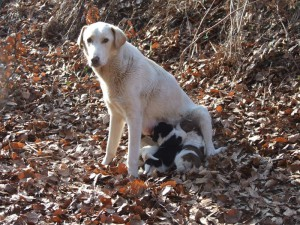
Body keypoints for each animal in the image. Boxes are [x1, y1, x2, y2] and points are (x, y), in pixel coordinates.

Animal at [77, 22, 225, 177]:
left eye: (105, 40)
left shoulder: (134, 119)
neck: (119, 69)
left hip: (202, 112)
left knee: (209, 147)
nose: (94, 59)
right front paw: (104, 166)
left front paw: (132, 177)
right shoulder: (116, 116)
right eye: (89, 40)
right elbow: (110, 146)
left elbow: (131, 154)